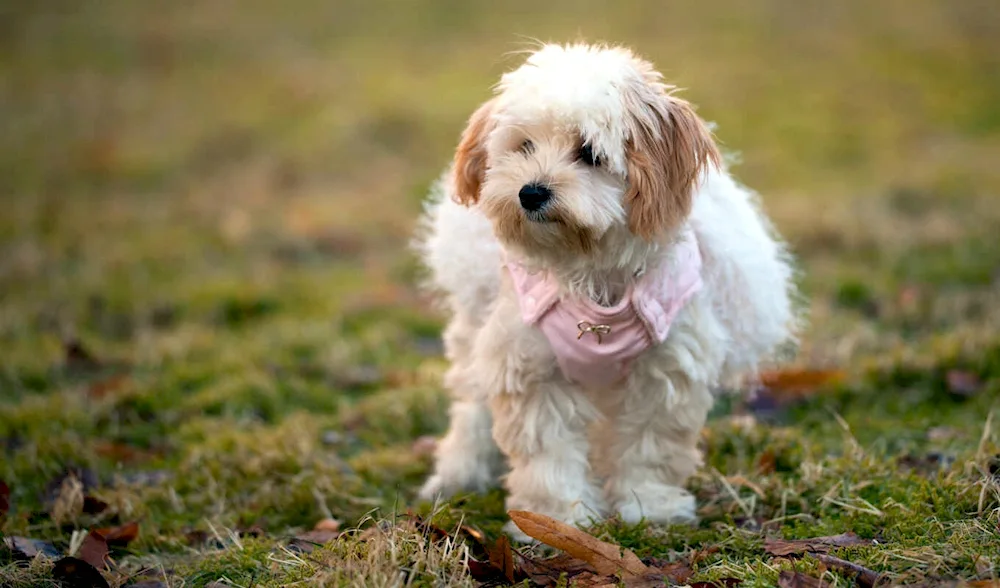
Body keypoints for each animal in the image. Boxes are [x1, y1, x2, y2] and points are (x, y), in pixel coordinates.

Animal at [412, 40, 796, 536]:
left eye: (589, 153)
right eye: (525, 146)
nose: (530, 192)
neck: (592, 271)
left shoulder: (665, 369)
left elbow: (650, 448)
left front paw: (649, 507)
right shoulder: (533, 366)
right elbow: (550, 454)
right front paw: (557, 518)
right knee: (472, 406)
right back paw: (460, 471)